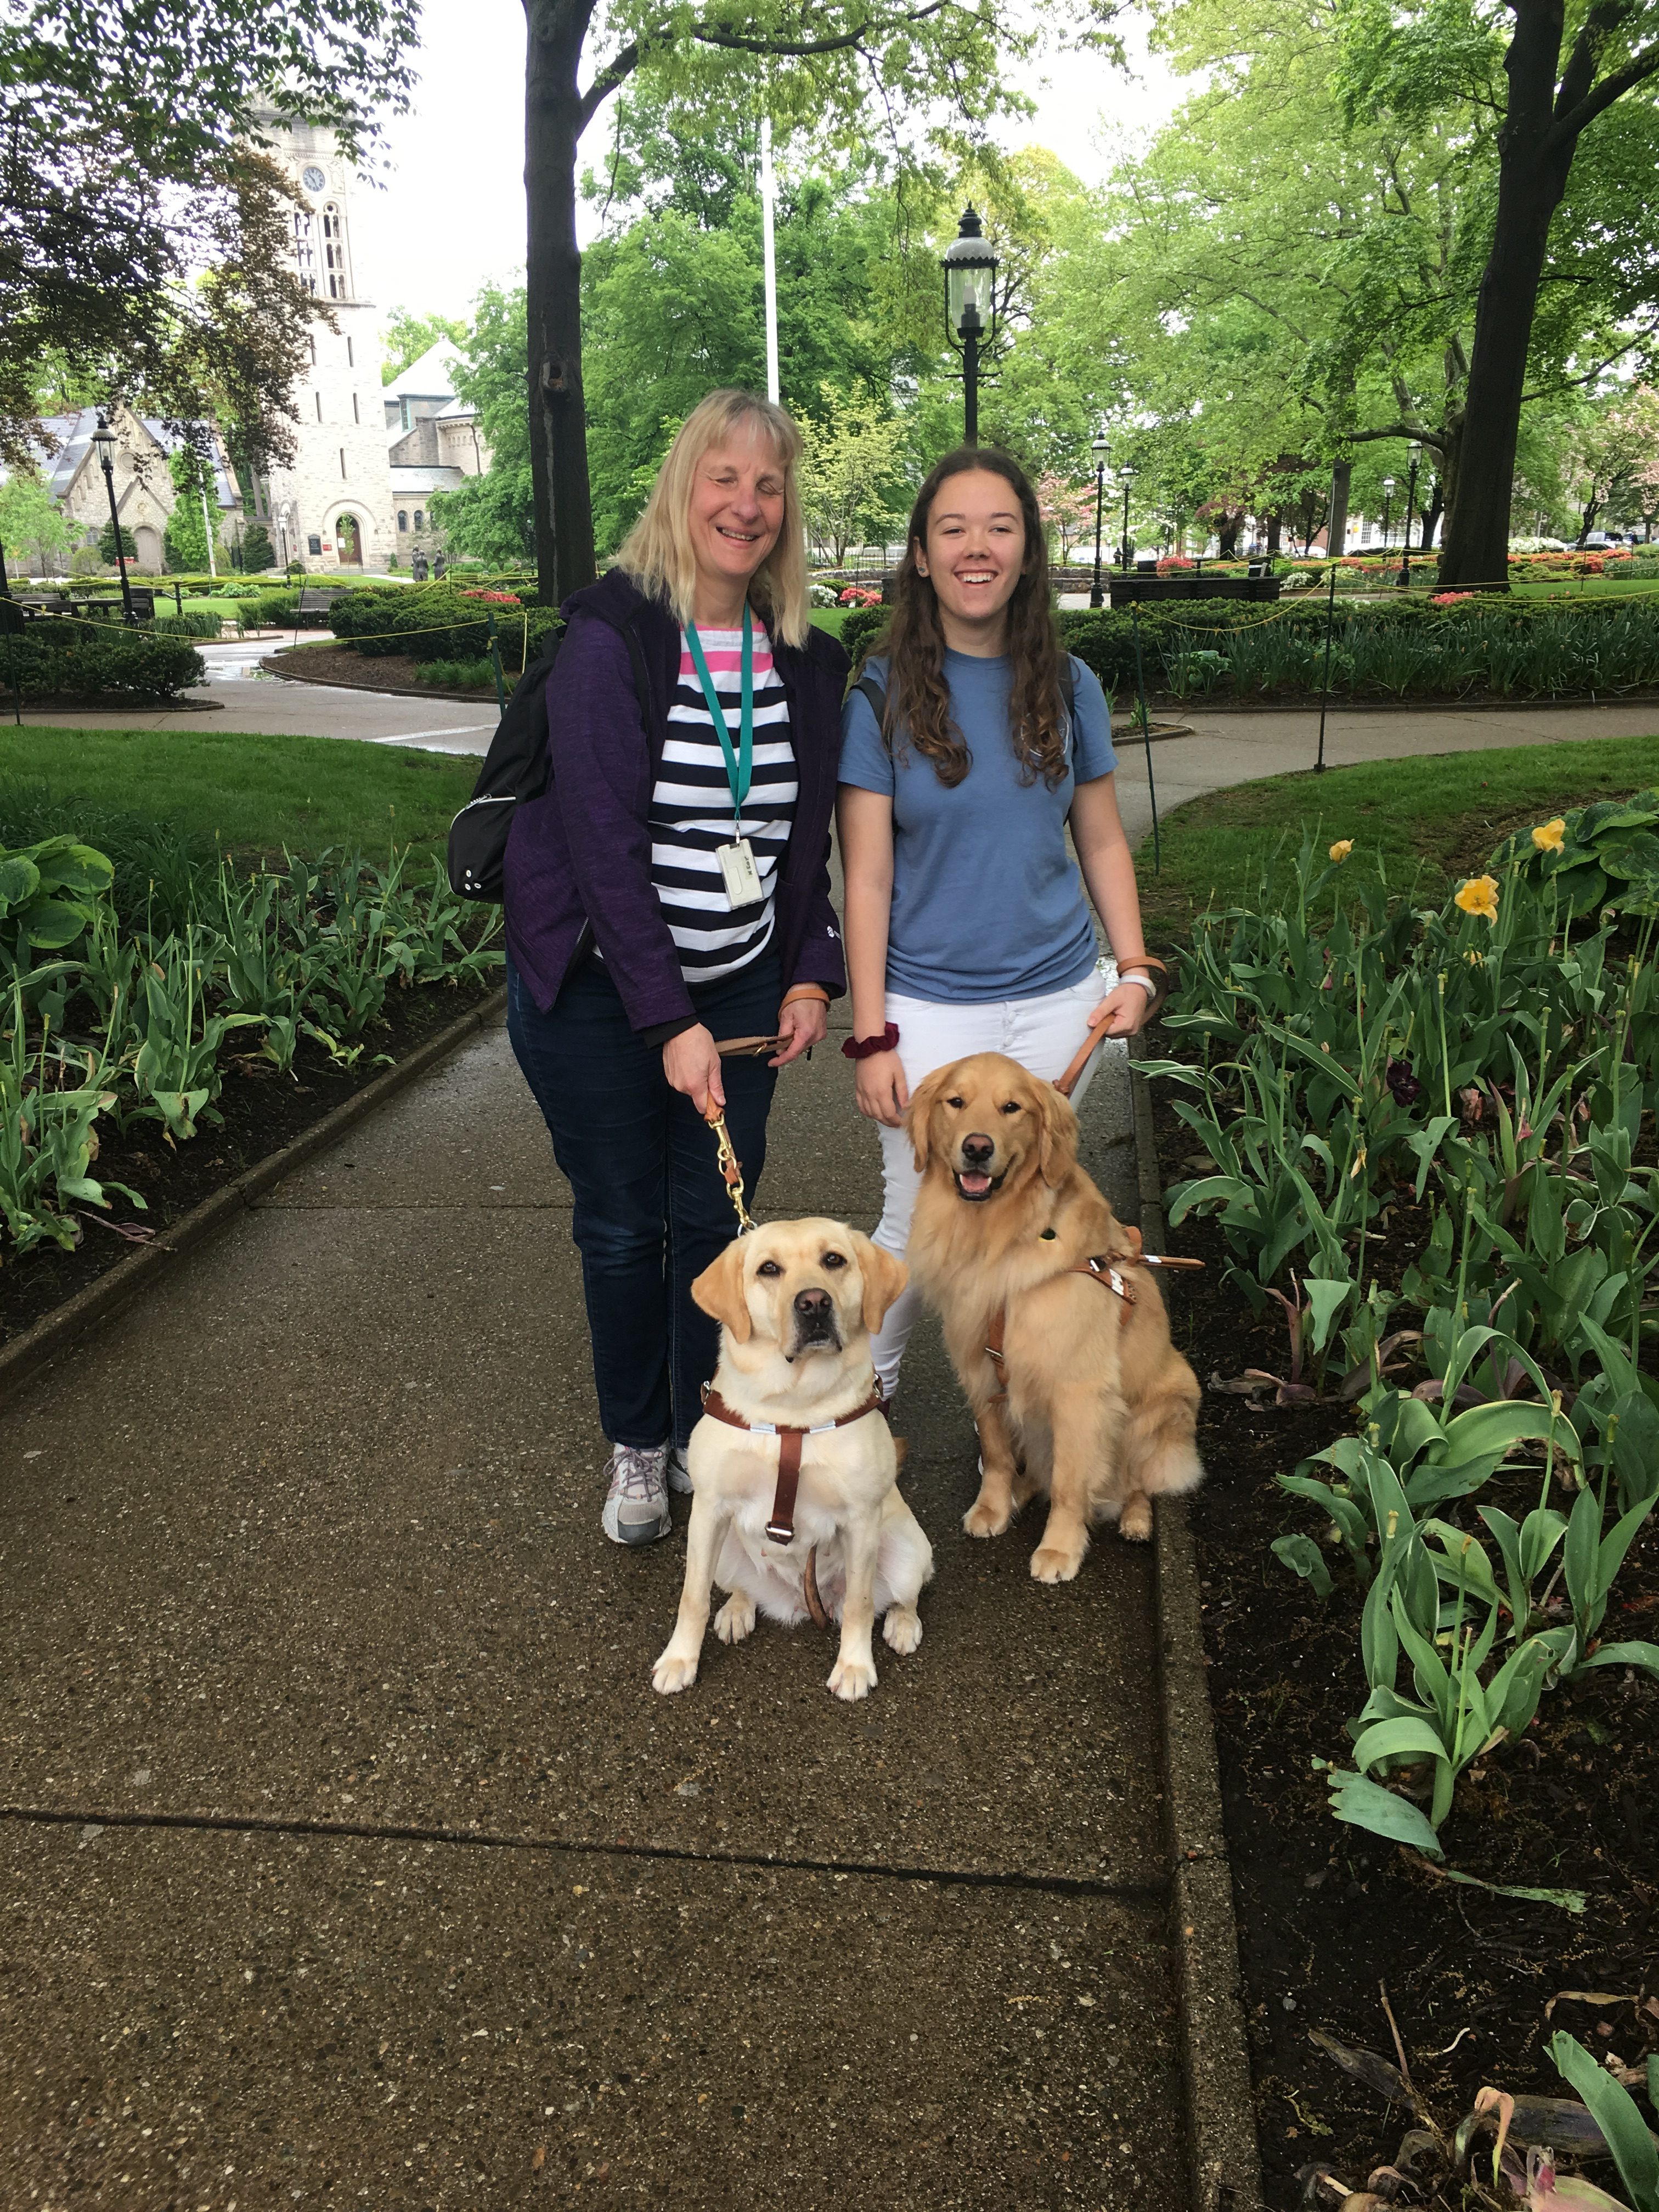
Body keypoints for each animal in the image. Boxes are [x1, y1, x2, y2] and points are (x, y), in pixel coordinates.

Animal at [650, 1221, 938, 1699]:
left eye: (834, 1260)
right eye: (769, 1269)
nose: (815, 1302)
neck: (793, 1408)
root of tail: (801, 1603)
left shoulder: (861, 1519)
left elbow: (860, 1606)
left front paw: (854, 1667)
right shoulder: (709, 1510)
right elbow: (692, 1598)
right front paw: (680, 1660)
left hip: (908, 1548)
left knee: (904, 1594)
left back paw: (902, 1623)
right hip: (725, 1551)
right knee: (736, 1589)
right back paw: (737, 1610)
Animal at [902, 1048, 1203, 1583]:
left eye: (1012, 1108)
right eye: (956, 1102)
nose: (977, 1148)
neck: (998, 1236)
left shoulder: (1078, 1391)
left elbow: (1068, 1482)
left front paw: (1060, 1549)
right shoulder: (982, 1370)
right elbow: (998, 1454)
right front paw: (993, 1506)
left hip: (1161, 1411)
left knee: (1138, 1480)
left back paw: (1136, 1518)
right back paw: (1022, 1492)